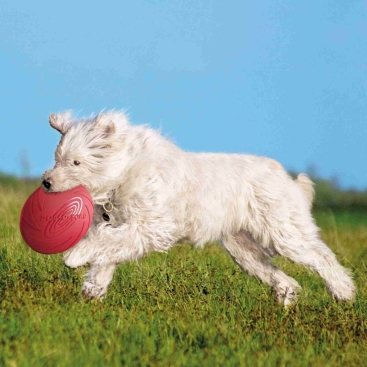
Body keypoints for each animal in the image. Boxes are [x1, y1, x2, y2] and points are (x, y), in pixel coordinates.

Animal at [42, 110, 356, 306]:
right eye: (57, 158)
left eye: (76, 162)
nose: (45, 182)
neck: (124, 171)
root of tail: (287, 178)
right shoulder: (126, 225)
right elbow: (107, 252)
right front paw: (92, 291)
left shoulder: (152, 226)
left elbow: (104, 242)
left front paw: (75, 256)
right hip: (244, 250)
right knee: (285, 278)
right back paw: (288, 302)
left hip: (284, 232)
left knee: (323, 257)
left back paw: (344, 293)